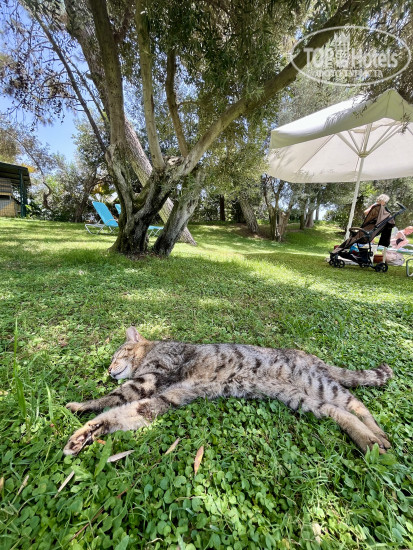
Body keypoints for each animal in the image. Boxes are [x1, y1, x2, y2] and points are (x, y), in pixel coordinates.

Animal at [63, 326, 393, 455]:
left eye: (118, 355)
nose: (109, 370)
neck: (151, 351)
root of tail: (312, 357)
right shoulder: (164, 397)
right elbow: (124, 413)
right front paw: (86, 432)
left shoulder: (154, 377)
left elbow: (115, 397)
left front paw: (84, 404)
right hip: (302, 399)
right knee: (339, 411)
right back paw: (369, 439)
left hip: (316, 384)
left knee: (356, 403)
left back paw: (377, 433)